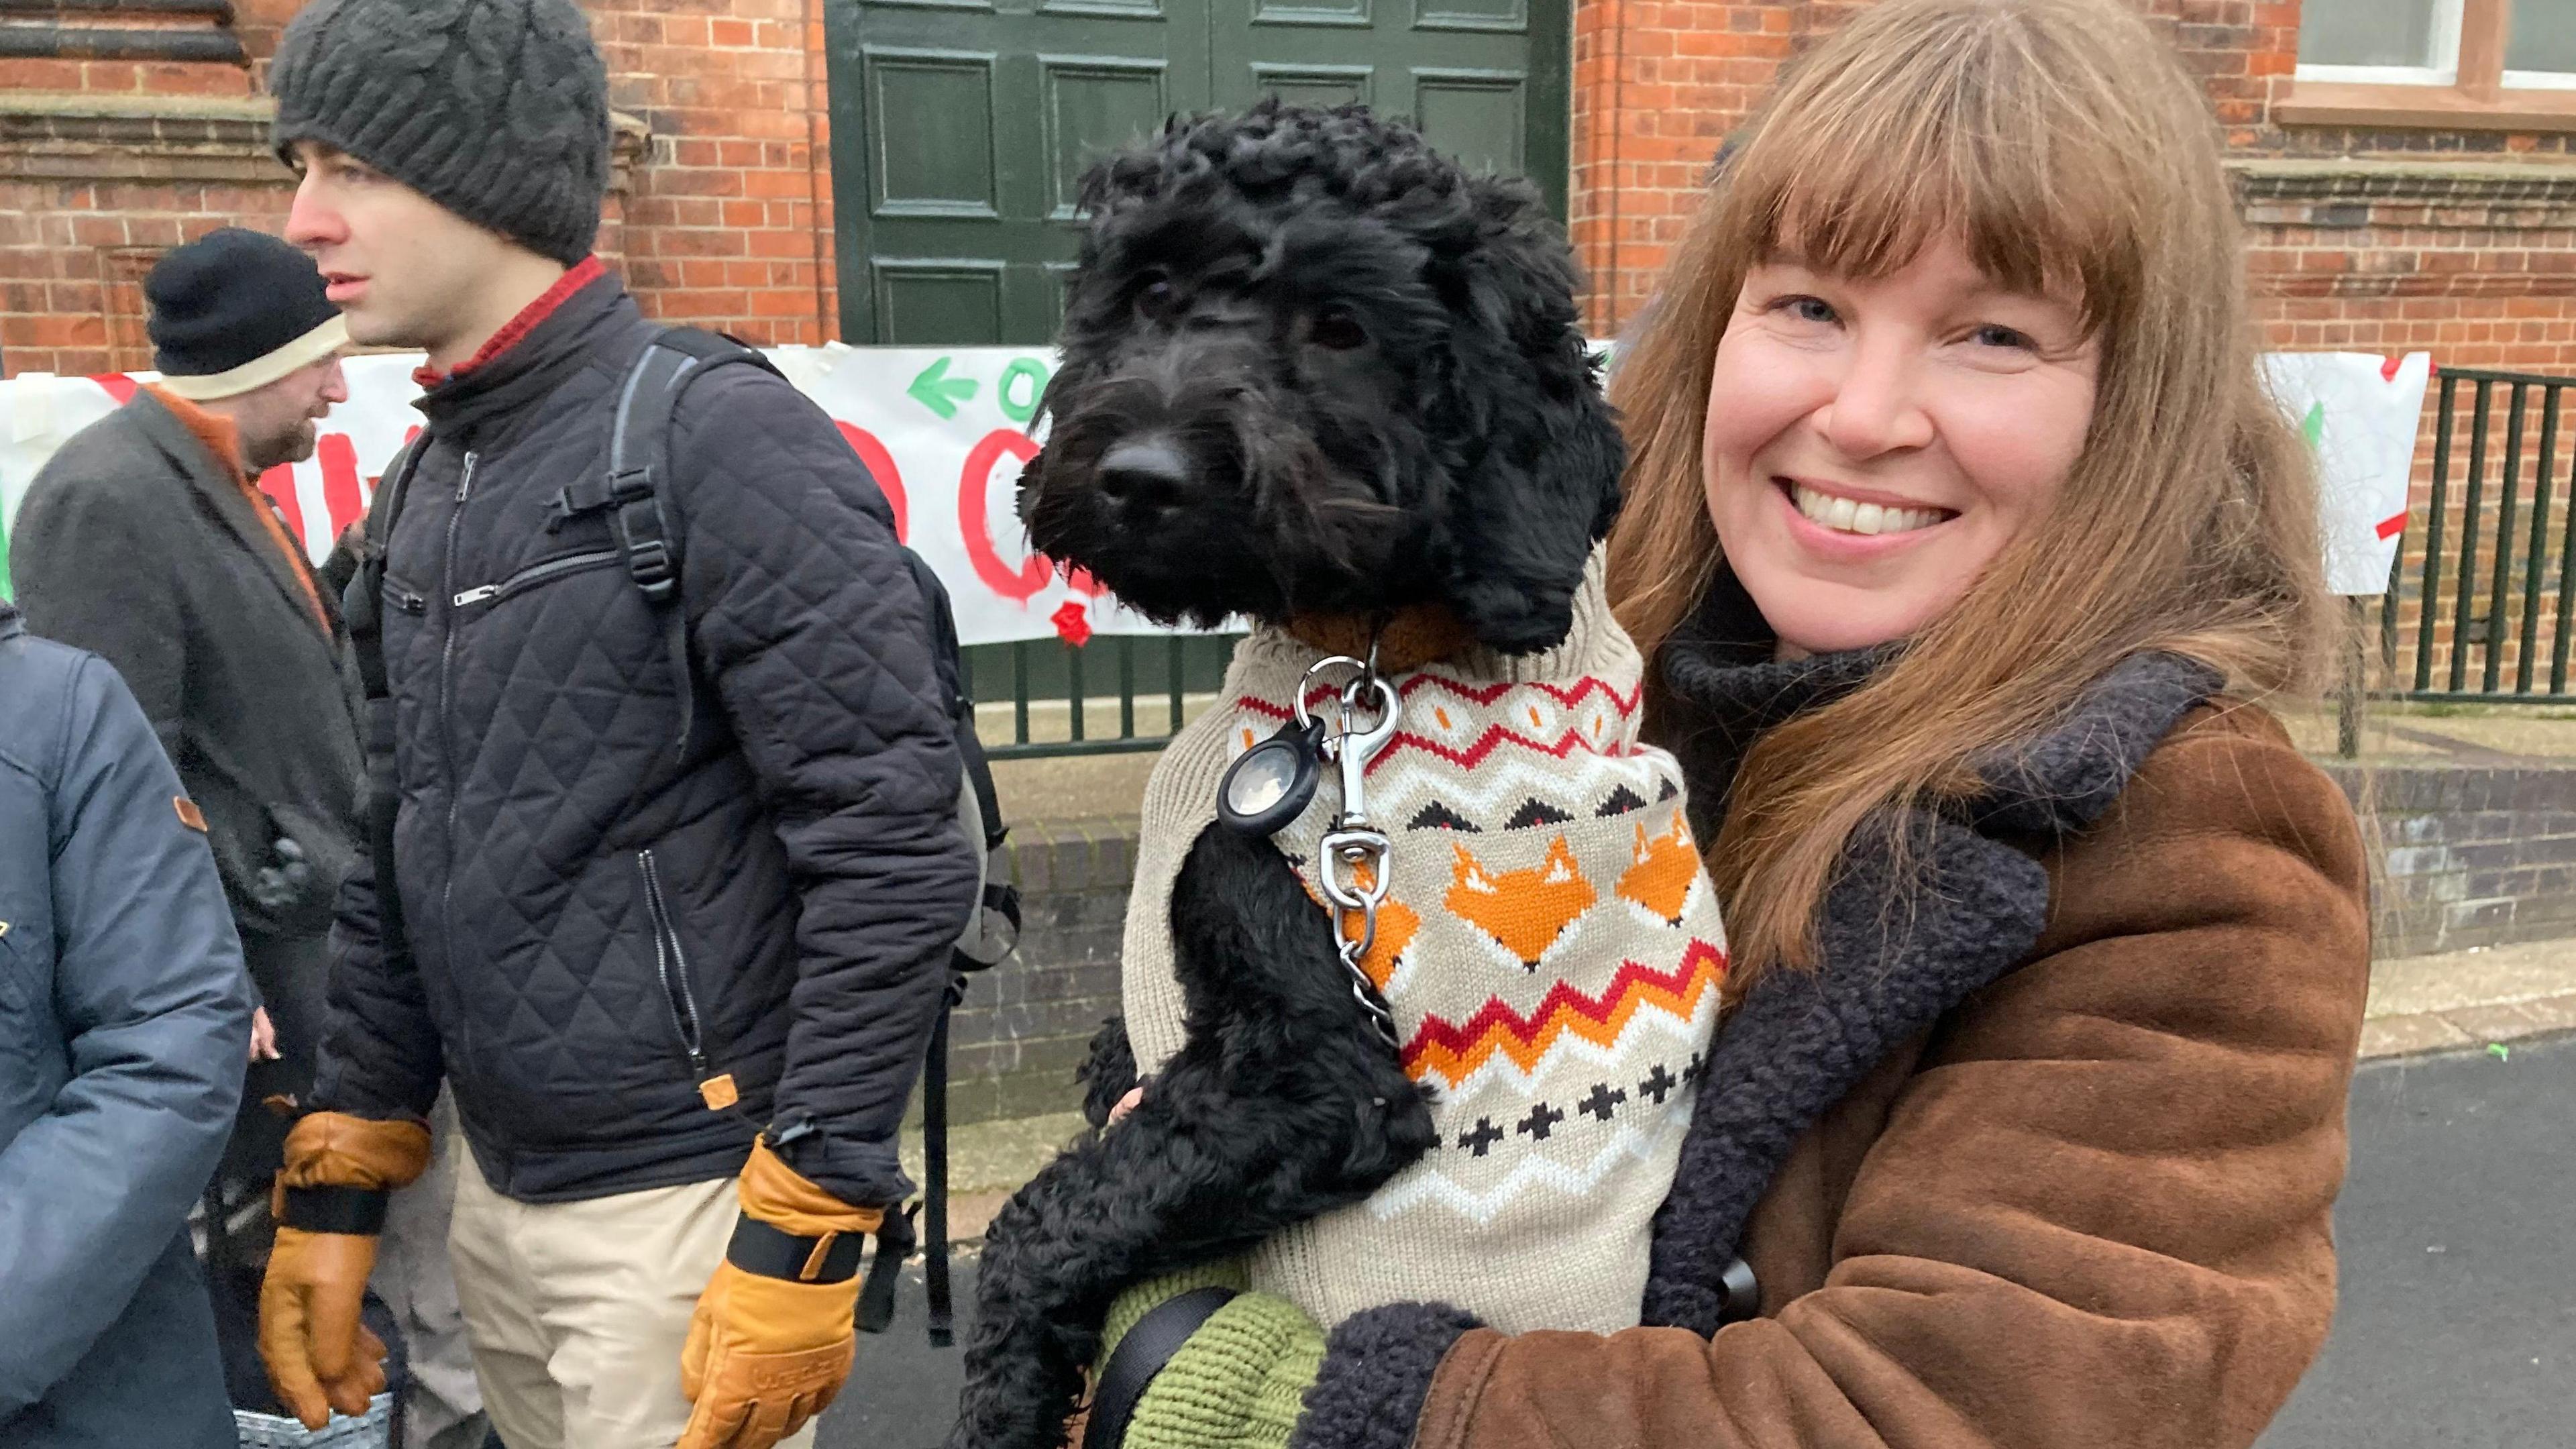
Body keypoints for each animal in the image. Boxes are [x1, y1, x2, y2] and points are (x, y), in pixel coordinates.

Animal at [948, 101, 1617, 1444]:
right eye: (1150, 291)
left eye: (1344, 326)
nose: (1140, 476)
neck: (1367, 654)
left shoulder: (1321, 1078)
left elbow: (1041, 1221)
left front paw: (1002, 1402)